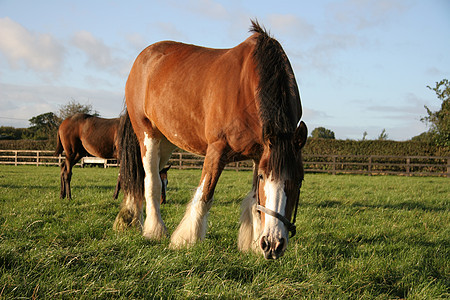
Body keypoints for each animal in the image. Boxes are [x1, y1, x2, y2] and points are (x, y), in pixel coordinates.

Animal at [114, 20, 308, 260]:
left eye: (299, 180)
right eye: (265, 176)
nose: (273, 244)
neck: (247, 88)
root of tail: (143, 57)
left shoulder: (259, 154)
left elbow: (255, 200)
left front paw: (254, 245)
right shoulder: (217, 150)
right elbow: (205, 195)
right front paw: (184, 240)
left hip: (166, 143)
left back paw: (132, 219)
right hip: (147, 135)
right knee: (151, 181)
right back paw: (154, 229)